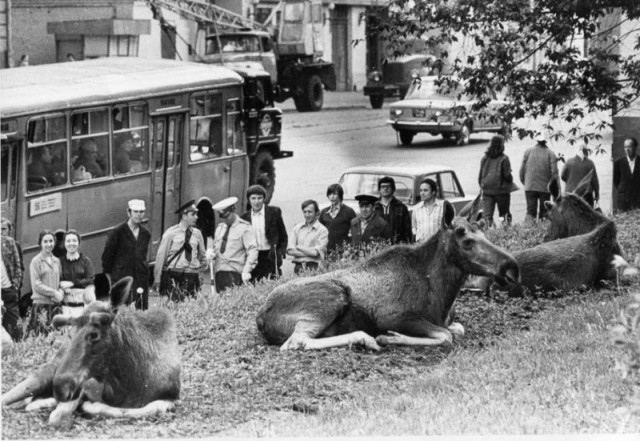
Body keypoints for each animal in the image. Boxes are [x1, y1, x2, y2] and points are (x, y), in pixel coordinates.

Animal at [3, 276, 181, 424]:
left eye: (94, 334)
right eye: (70, 333)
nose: (60, 387)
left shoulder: (172, 397)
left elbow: (148, 408)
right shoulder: (82, 388)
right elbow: (63, 414)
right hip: (44, 375)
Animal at [256, 205, 520, 352]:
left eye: (485, 233)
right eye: (467, 241)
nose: (512, 268)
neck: (442, 292)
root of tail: (261, 317)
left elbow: (457, 329)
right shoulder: (393, 316)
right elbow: (446, 336)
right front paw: (390, 337)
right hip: (331, 298)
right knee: (296, 342)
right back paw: (365, 339)